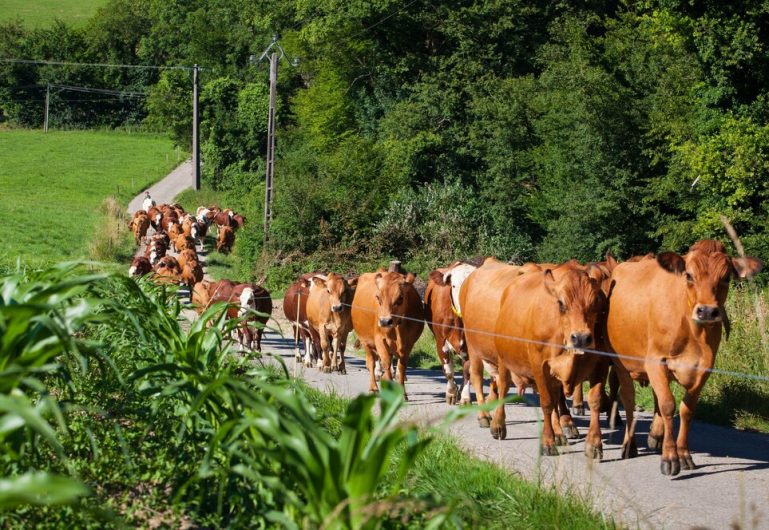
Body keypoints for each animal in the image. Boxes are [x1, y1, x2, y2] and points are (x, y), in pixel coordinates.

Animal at [350, 268, 424, 396]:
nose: (385, 321)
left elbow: (402, 366)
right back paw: (373, 387)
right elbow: (386, 362)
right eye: (378, 297)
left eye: (400, 298)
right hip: (365, 341)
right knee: (371, 362)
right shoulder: (380, 340)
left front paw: (403, 394)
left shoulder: (409, 343)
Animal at [608, 239, 760, 474]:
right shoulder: (654, 361)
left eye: (726, 277)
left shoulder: (704, 368)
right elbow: (668, 405)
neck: (693, 332)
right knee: (629, 399)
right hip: (621, 364)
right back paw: (629, 445)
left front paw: (684, 454)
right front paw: (670, 458)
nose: (707, 311)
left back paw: (655, 435)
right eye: (688, 275)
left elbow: (686, 409)